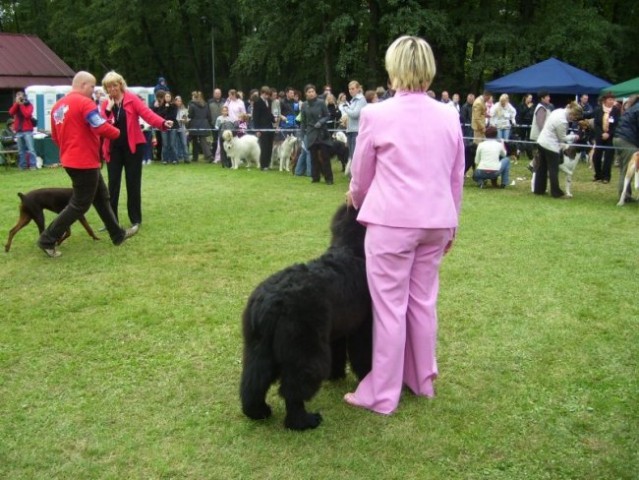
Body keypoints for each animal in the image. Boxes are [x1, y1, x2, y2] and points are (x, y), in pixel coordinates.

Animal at [240, 204, 372, 430]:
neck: (352, 250)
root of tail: (270, 302)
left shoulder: (335, 331)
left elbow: (338, 353)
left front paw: (336, 375)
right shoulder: (362, 327)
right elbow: (363, 353)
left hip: (258, 348)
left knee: (253, 382)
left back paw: (259, 412)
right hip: (305, 349)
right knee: (294, 388)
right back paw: (303, 421)